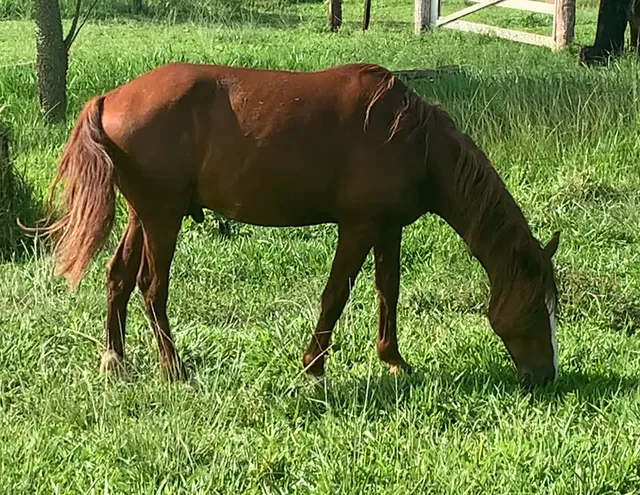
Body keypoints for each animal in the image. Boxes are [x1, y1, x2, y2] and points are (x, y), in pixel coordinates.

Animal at [30, 62, 561, 387]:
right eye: (540, 307)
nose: (546, 377)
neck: (416, 142)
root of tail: (110, 97)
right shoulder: (358, 227)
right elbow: (337, 294)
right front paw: (314, 366)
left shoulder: (388, 228)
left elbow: (387, 289)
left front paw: (393, 359)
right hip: (162, 217)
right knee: (151, 286)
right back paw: (174, 369)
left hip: (144, 215)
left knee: (118, 276)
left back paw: (115, 362)